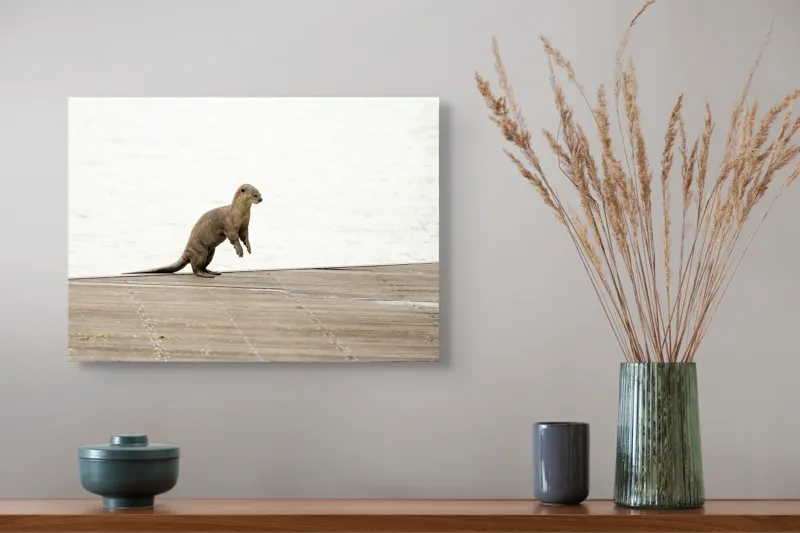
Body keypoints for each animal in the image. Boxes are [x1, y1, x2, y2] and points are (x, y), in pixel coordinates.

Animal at [124, 184, 263, 278]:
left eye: (260, 193)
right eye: (254, 194)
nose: (261, 199)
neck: (238, 214)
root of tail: (187, 252)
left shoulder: (244, 225)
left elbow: (244, 236)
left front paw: (248, 247)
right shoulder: (229, 226)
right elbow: (234, 238)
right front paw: (239, 250)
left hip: (210, 252)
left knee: (203, 265)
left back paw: (212, 271)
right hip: (200, 251)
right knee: (195, 268)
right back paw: (205, 275)